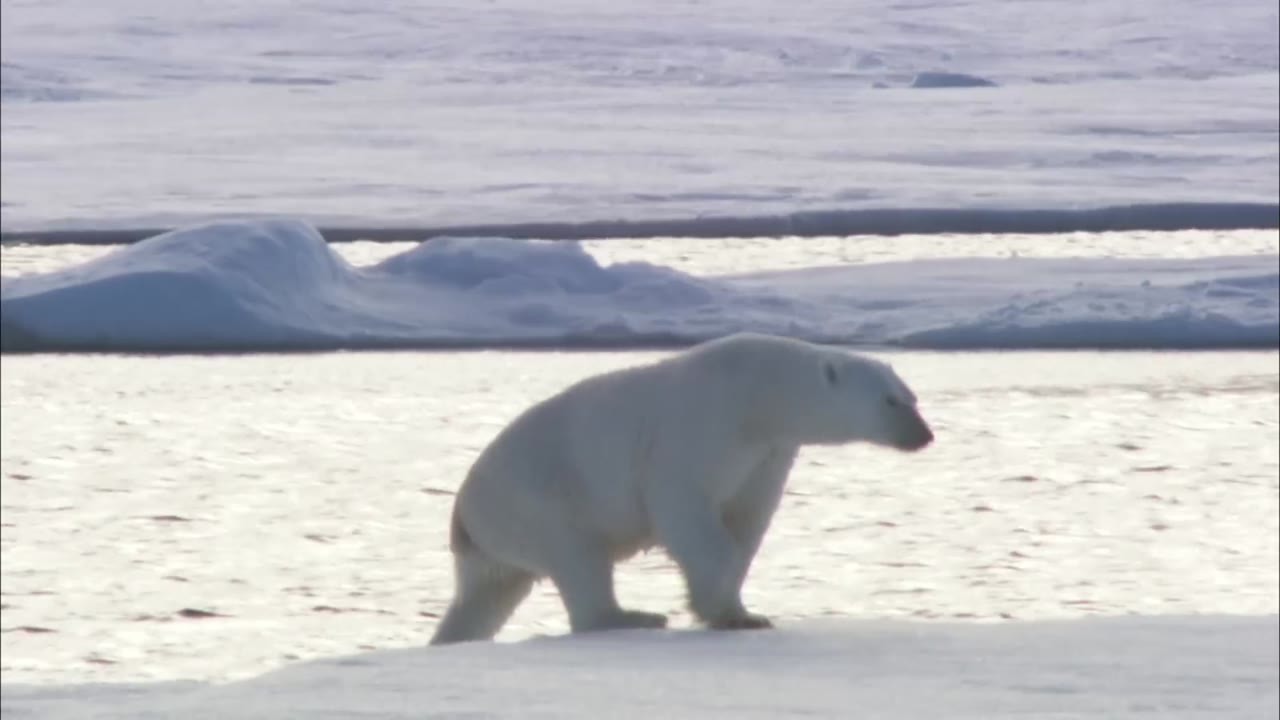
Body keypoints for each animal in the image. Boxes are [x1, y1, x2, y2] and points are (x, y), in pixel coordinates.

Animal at [429, 332, 933, 645]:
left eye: (912, 396)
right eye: (890, 401)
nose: (924, 435)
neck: (760, 394)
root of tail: (461, 515)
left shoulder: (768, 454)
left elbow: (747, 520)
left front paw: (744, 614)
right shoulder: (702, 426)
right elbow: (686, 509)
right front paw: (721, 610)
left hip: (497, 543)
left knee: (485, 597)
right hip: (537, 499)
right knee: (578, 557)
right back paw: (632, 616)